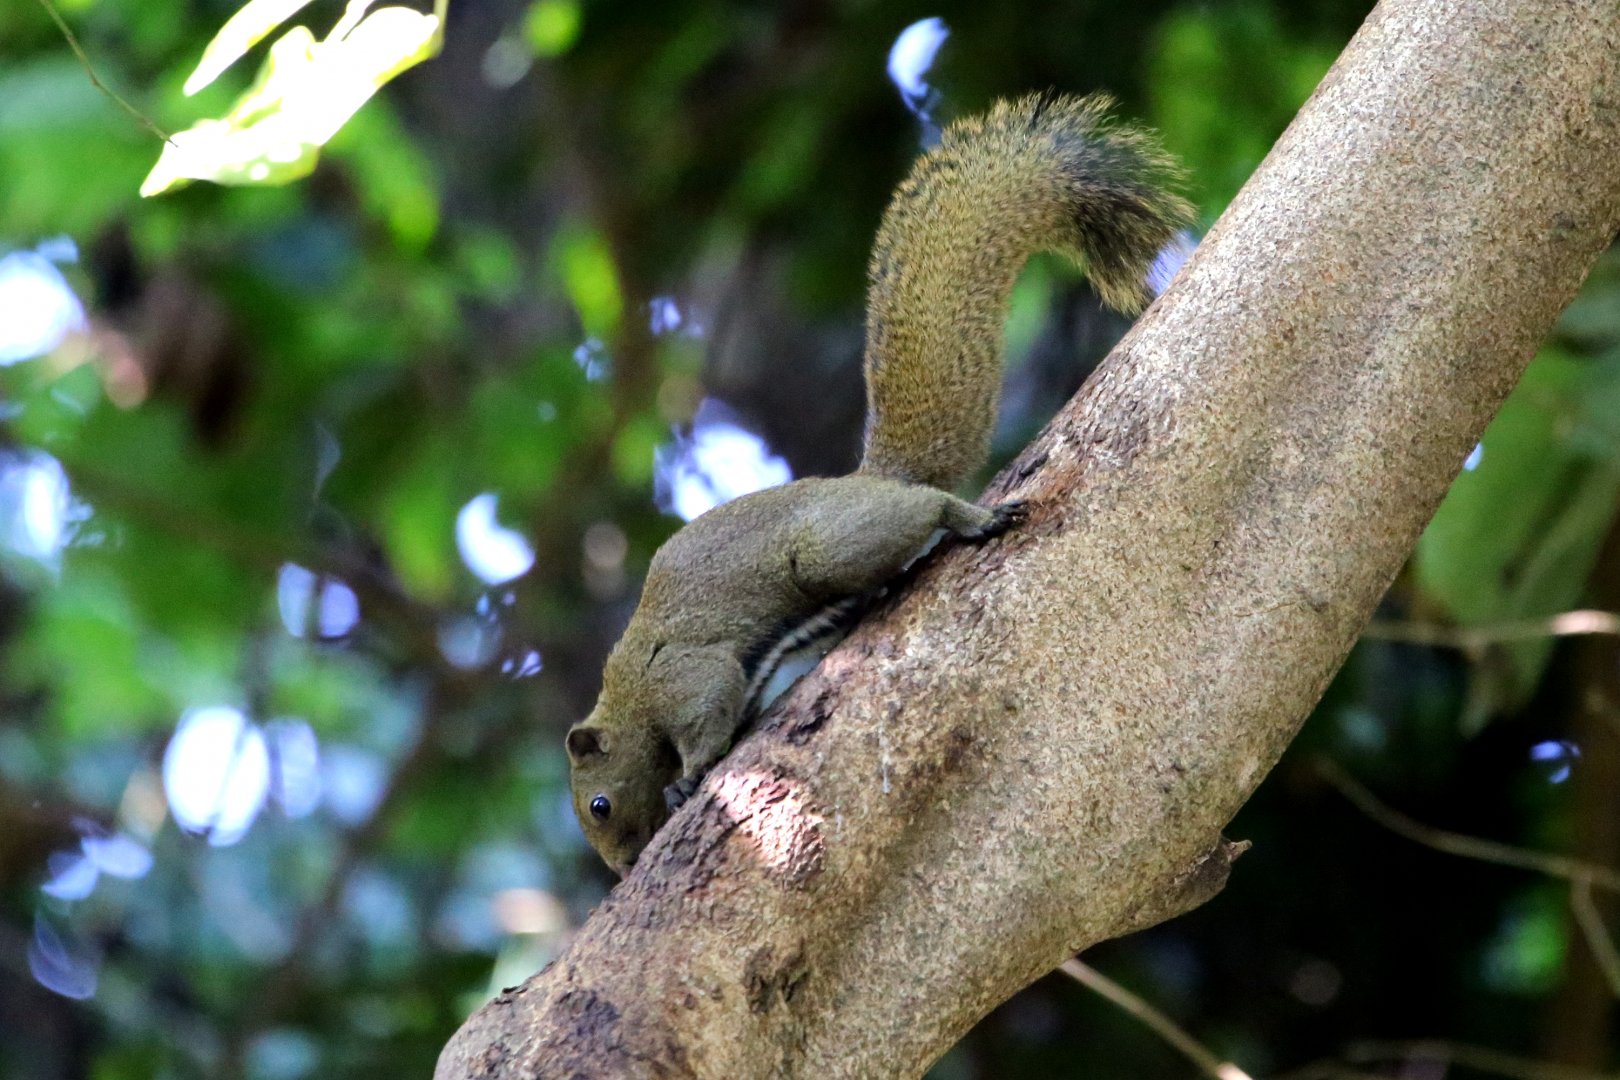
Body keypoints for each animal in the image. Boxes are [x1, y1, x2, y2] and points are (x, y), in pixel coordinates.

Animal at [566, 92, 1193, 875]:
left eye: (598, 804)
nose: (622, 869)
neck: (625, 700)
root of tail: (874, 479)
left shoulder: (679, 674)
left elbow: (709, 708)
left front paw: (688, 779)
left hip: (830, 546)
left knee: (923, 508)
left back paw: (971, 520)